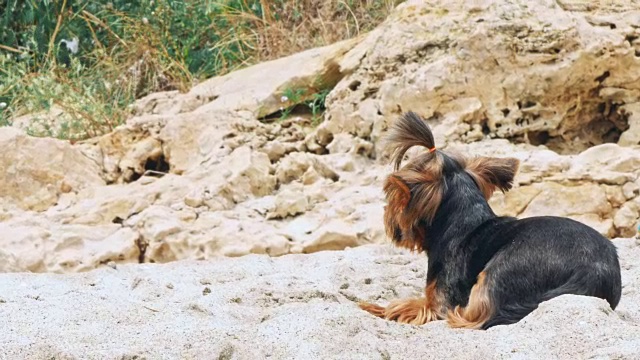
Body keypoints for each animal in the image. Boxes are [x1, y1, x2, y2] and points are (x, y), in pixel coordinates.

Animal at [362, 112, 624, 330]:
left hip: (502, 269)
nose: (386, 216)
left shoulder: (438, 302)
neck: (463, 223)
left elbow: (405, 307)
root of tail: (594, 273)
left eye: (391, 198)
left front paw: (373, 307)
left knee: (477, 316)